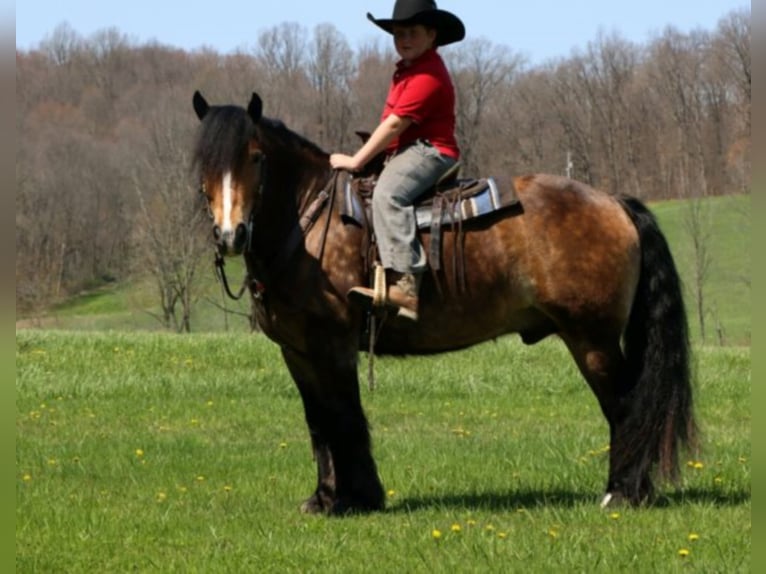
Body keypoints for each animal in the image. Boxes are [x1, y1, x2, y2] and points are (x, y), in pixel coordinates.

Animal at [190, 91, 696, 516]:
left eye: (256, 158)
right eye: (203, 165)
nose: (231, 234)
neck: (311, 222)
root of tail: (613, 202)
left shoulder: (333, 345)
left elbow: (344, 416)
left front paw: (358, 498)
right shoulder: (297, 351)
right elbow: (318, 422)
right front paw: (324, 498)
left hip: (593, 340)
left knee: (626, 406)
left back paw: (623, 493)